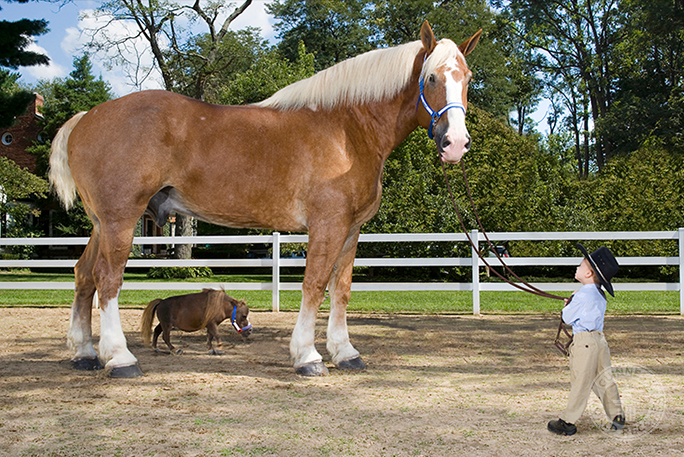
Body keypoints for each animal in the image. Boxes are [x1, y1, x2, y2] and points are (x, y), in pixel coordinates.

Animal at [49, 21, 480, 376]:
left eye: (468, 78)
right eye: (432, 77)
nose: (456, 143)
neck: (346, 129)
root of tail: (87, 117)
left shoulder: (351, 230)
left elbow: (340, 289)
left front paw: (345, 353)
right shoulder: (327, 225)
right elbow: (314, 285)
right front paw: (307, 356)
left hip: (101, 223)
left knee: (83, 275)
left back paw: (85, 353)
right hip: (121, 219)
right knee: (107, 279)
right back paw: (120, 359)